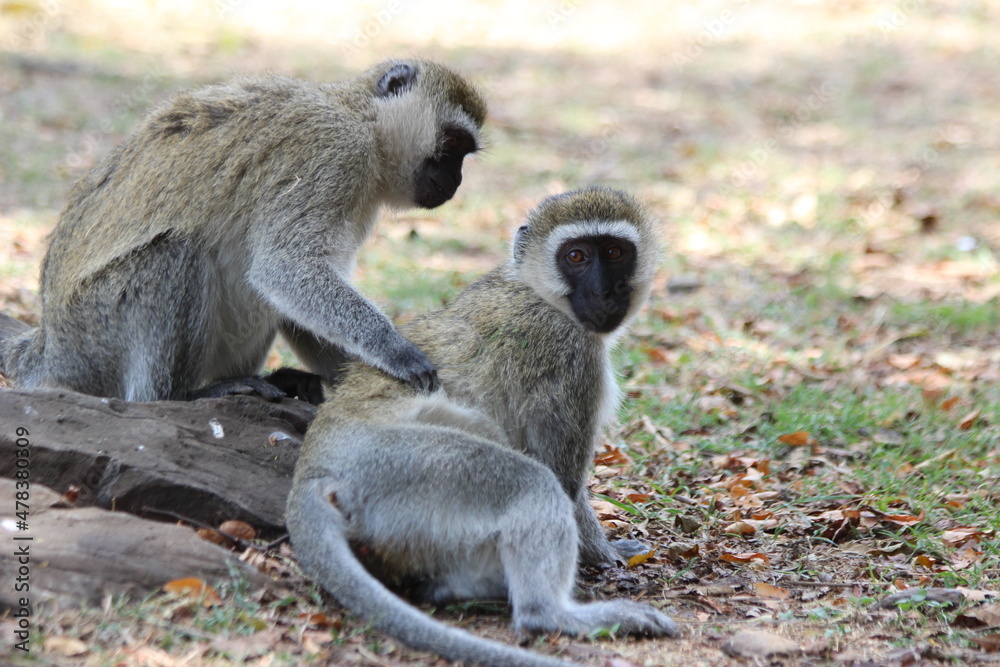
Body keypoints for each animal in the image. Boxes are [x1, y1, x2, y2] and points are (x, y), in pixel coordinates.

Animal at [0, 58, 484, 402]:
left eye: (464, 153)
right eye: (453, 144)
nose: (457, 181)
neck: (364, 120)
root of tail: (49, 344)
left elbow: (297, 294)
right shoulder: (334, 154)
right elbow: (285, 270)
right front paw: (398, 352)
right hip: (93, 334)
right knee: (175, 254)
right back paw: (185, 394)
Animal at [290, 188, 680, 667]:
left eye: (614, 253)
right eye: (576, 256)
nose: (603, 290)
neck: (535, 291)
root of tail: (315, 458)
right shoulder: (568, 354)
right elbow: (565, 481)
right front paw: (605, 556)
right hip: (402, 464)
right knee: (530, 483)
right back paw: (552, 613)